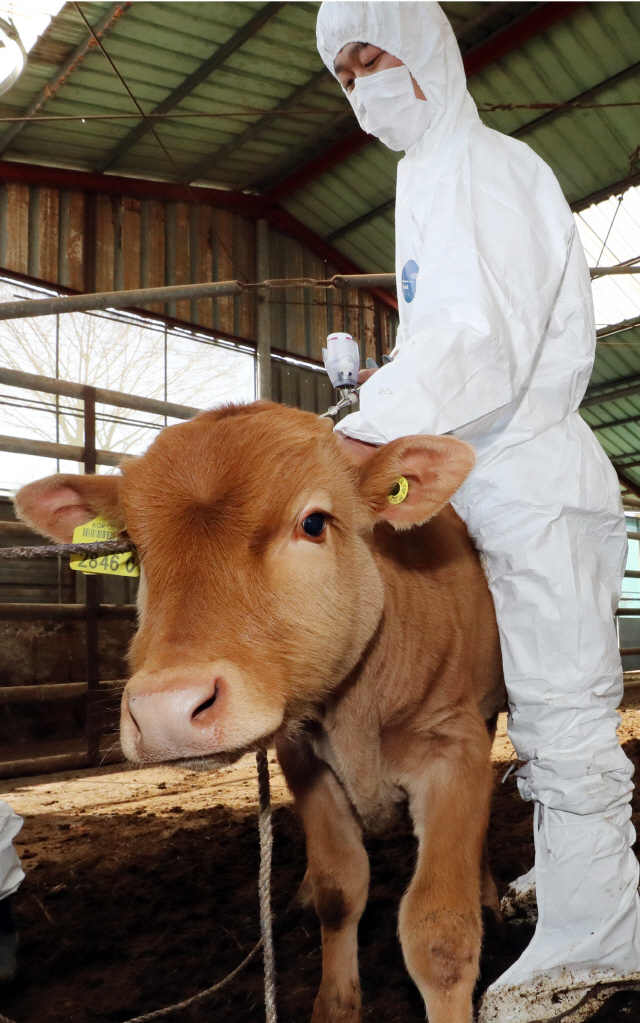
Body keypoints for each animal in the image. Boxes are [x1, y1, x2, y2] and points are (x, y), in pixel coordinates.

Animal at [16, 401, 503, 1023]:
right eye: (134, 546)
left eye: (314, 523)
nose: (167, 710)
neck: (359, 710)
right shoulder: (305, 761)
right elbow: (340, 891)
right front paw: (333, 1005)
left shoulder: (453, 746)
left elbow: (439, 932)